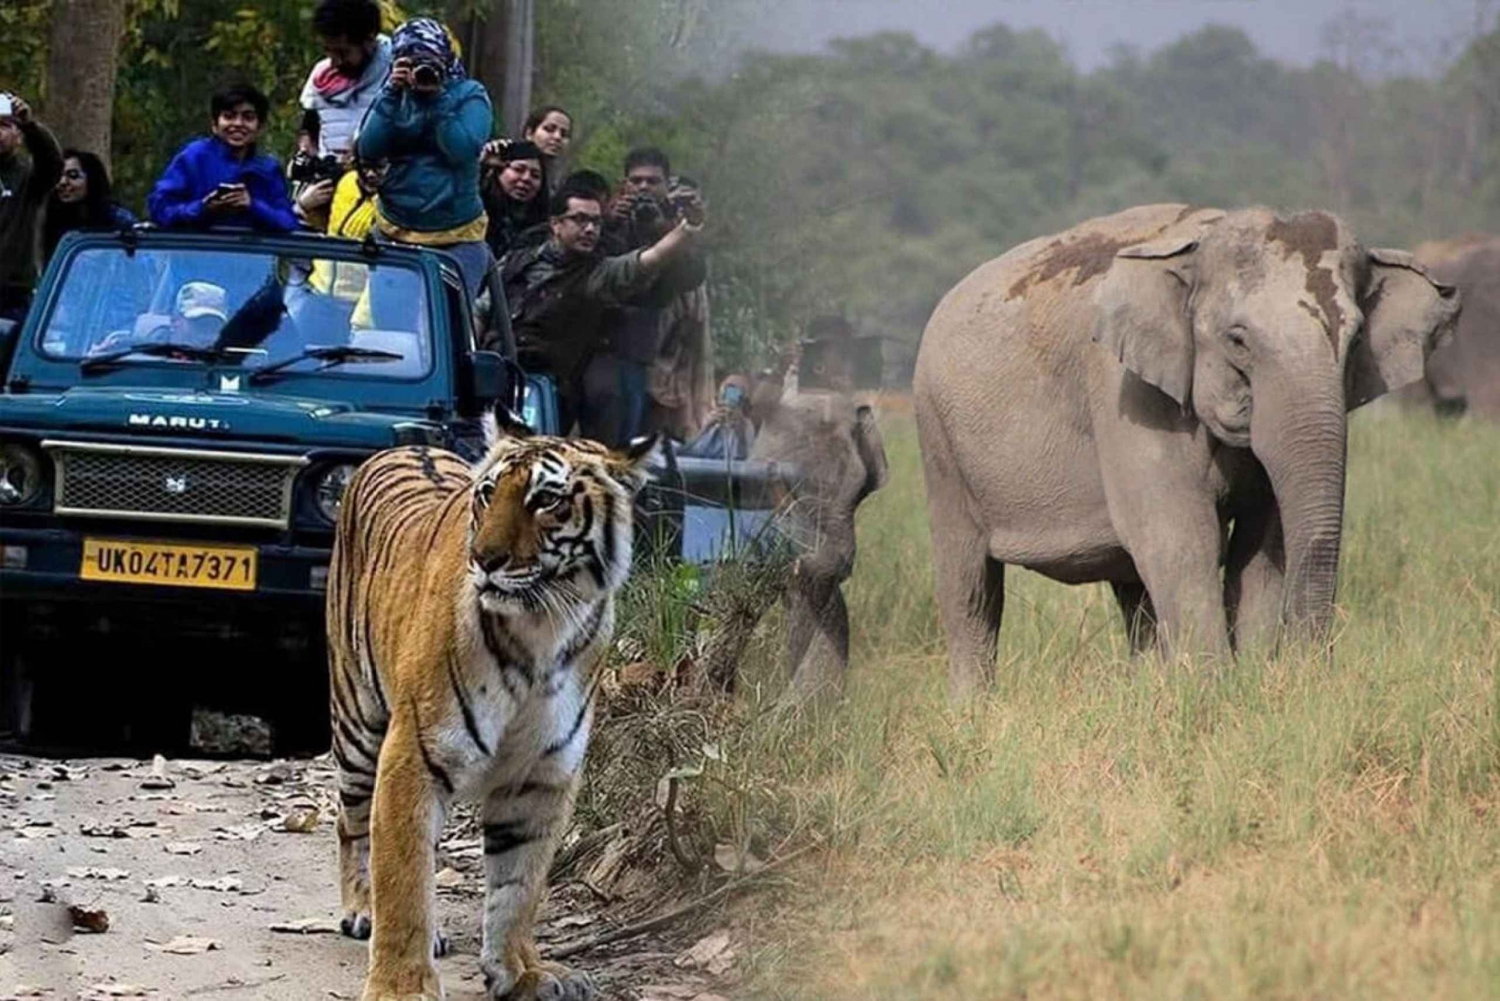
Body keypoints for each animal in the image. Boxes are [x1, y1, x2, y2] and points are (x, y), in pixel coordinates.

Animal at [328, 408, 657, 1001]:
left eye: (546, 500)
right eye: (487, 494)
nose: (484, 558)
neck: (543, 629)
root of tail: (406, 446)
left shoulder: (541, 775)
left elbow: (518, 885)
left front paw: (521, 971)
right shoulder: (413, 755)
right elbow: (403, 880)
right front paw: (401, 987)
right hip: (358, 726)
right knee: (354, 825)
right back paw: (362, 910)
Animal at [906, 202, 1458, 702]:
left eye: (1356, 338)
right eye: (1238, 339)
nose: (1310, 673)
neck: (1200, 238)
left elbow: (1261, 547)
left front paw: (1251, 682)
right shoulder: (1124, 391)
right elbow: (1182, 537)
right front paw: (1216, 696)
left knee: (1134, 591)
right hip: (939, 443)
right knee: (971, 589)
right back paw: (970, 715)